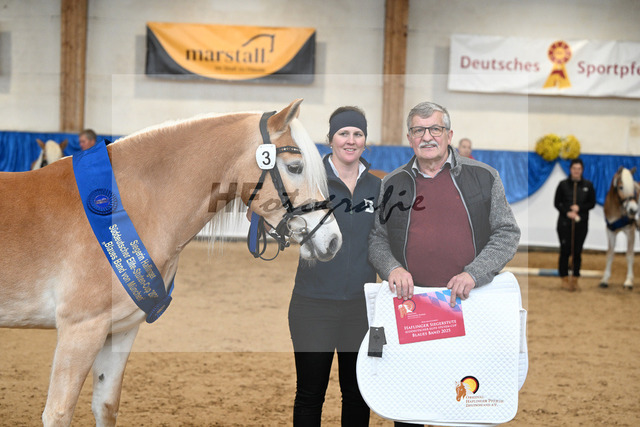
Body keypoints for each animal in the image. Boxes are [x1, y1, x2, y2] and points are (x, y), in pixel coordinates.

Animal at [0, 99, 342, 426]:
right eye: (295, 167)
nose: (333, 240)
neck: (131, 206)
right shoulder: (80, 329)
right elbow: (58, 413)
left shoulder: (120, 330)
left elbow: (105, 407)